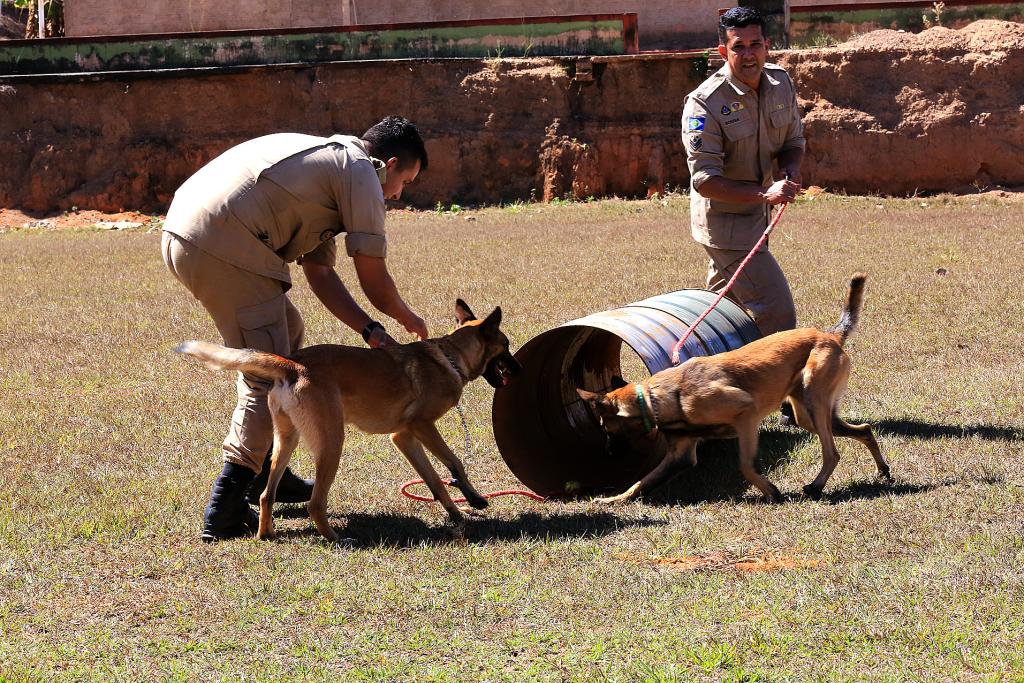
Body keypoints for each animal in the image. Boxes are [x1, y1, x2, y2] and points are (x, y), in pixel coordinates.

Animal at [175, 299, 520, 540]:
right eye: (506, 347)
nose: (519, 370)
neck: (450, 357)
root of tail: (292, 365)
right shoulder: (422, 427)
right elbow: (454, 462)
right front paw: (474, 498)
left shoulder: (403, 437)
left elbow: (434, 478)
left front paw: (456, 510)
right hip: (332, 442)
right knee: (315, 503)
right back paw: (337, 538)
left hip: (287, 440)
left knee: (266, 494)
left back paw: (266, 533)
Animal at [577, 274, 888, 505]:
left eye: (605, 427)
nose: (607, 455)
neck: (655, 400)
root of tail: (830, 335)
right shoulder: (680, 454)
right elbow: (641, 483)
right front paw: (612, 499)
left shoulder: (746, 415)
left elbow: (746, 466)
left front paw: (772, 492)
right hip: (808, 414)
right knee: (864, 430)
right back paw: (882, 470)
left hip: (813, 400)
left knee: (832, 452)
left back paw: (816, 486)